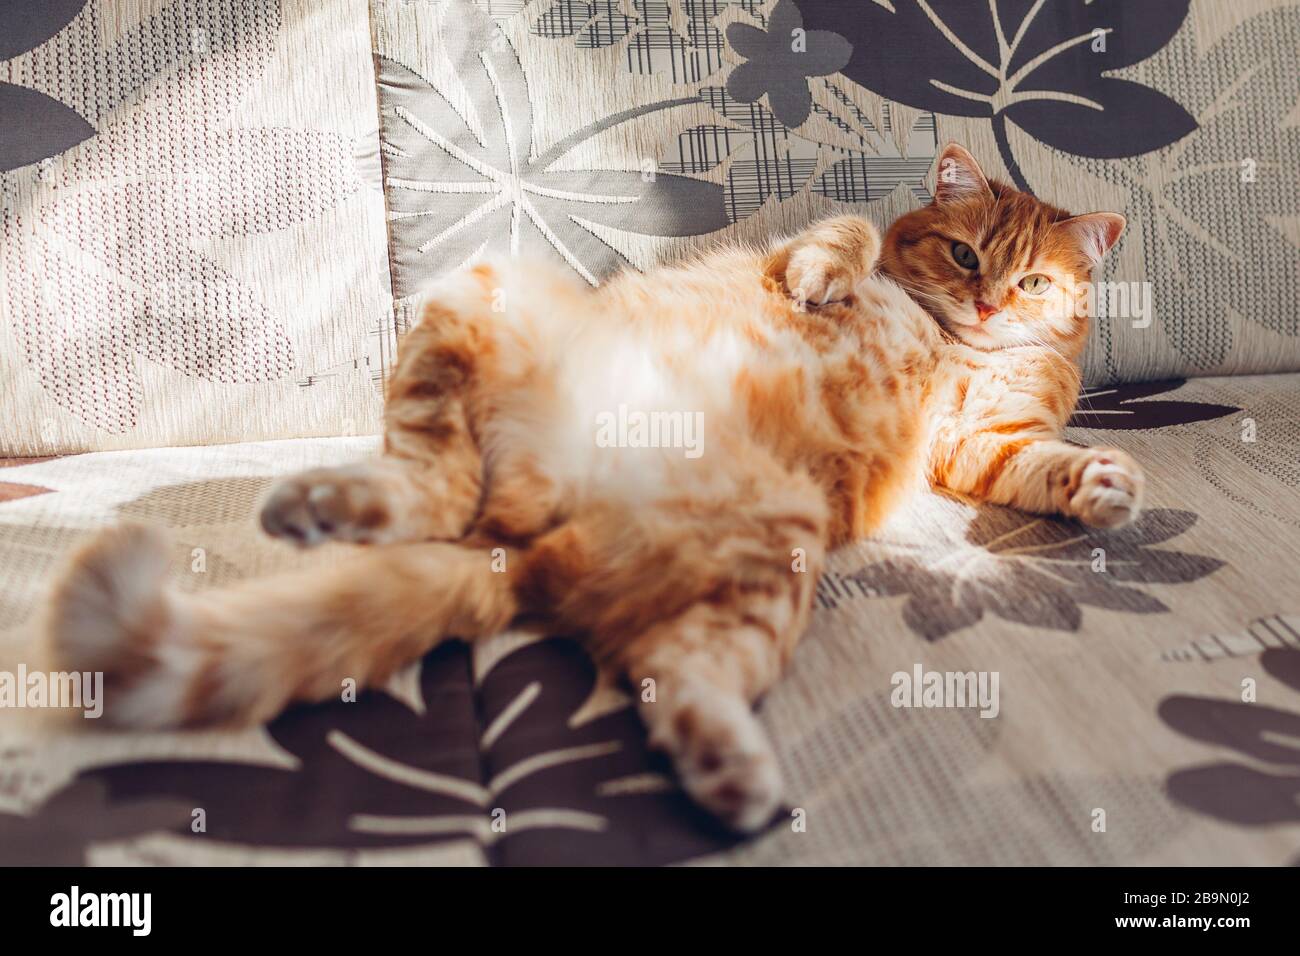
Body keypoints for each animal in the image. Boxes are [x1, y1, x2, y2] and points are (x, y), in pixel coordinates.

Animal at [48, 145, 1138, 832]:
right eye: (963, 254)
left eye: (1033, 284)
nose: (988, 302)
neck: (956, 347)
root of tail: (533, 538)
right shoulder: (819, 244)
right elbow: (843, 237)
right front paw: (823, 282)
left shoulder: (981, 443)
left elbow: (1041, 462)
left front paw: (1104, 482)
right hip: (486, 295)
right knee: (433, 483)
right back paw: (321, 503)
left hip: (767, 554)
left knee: (675, 673)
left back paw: (729, 768)